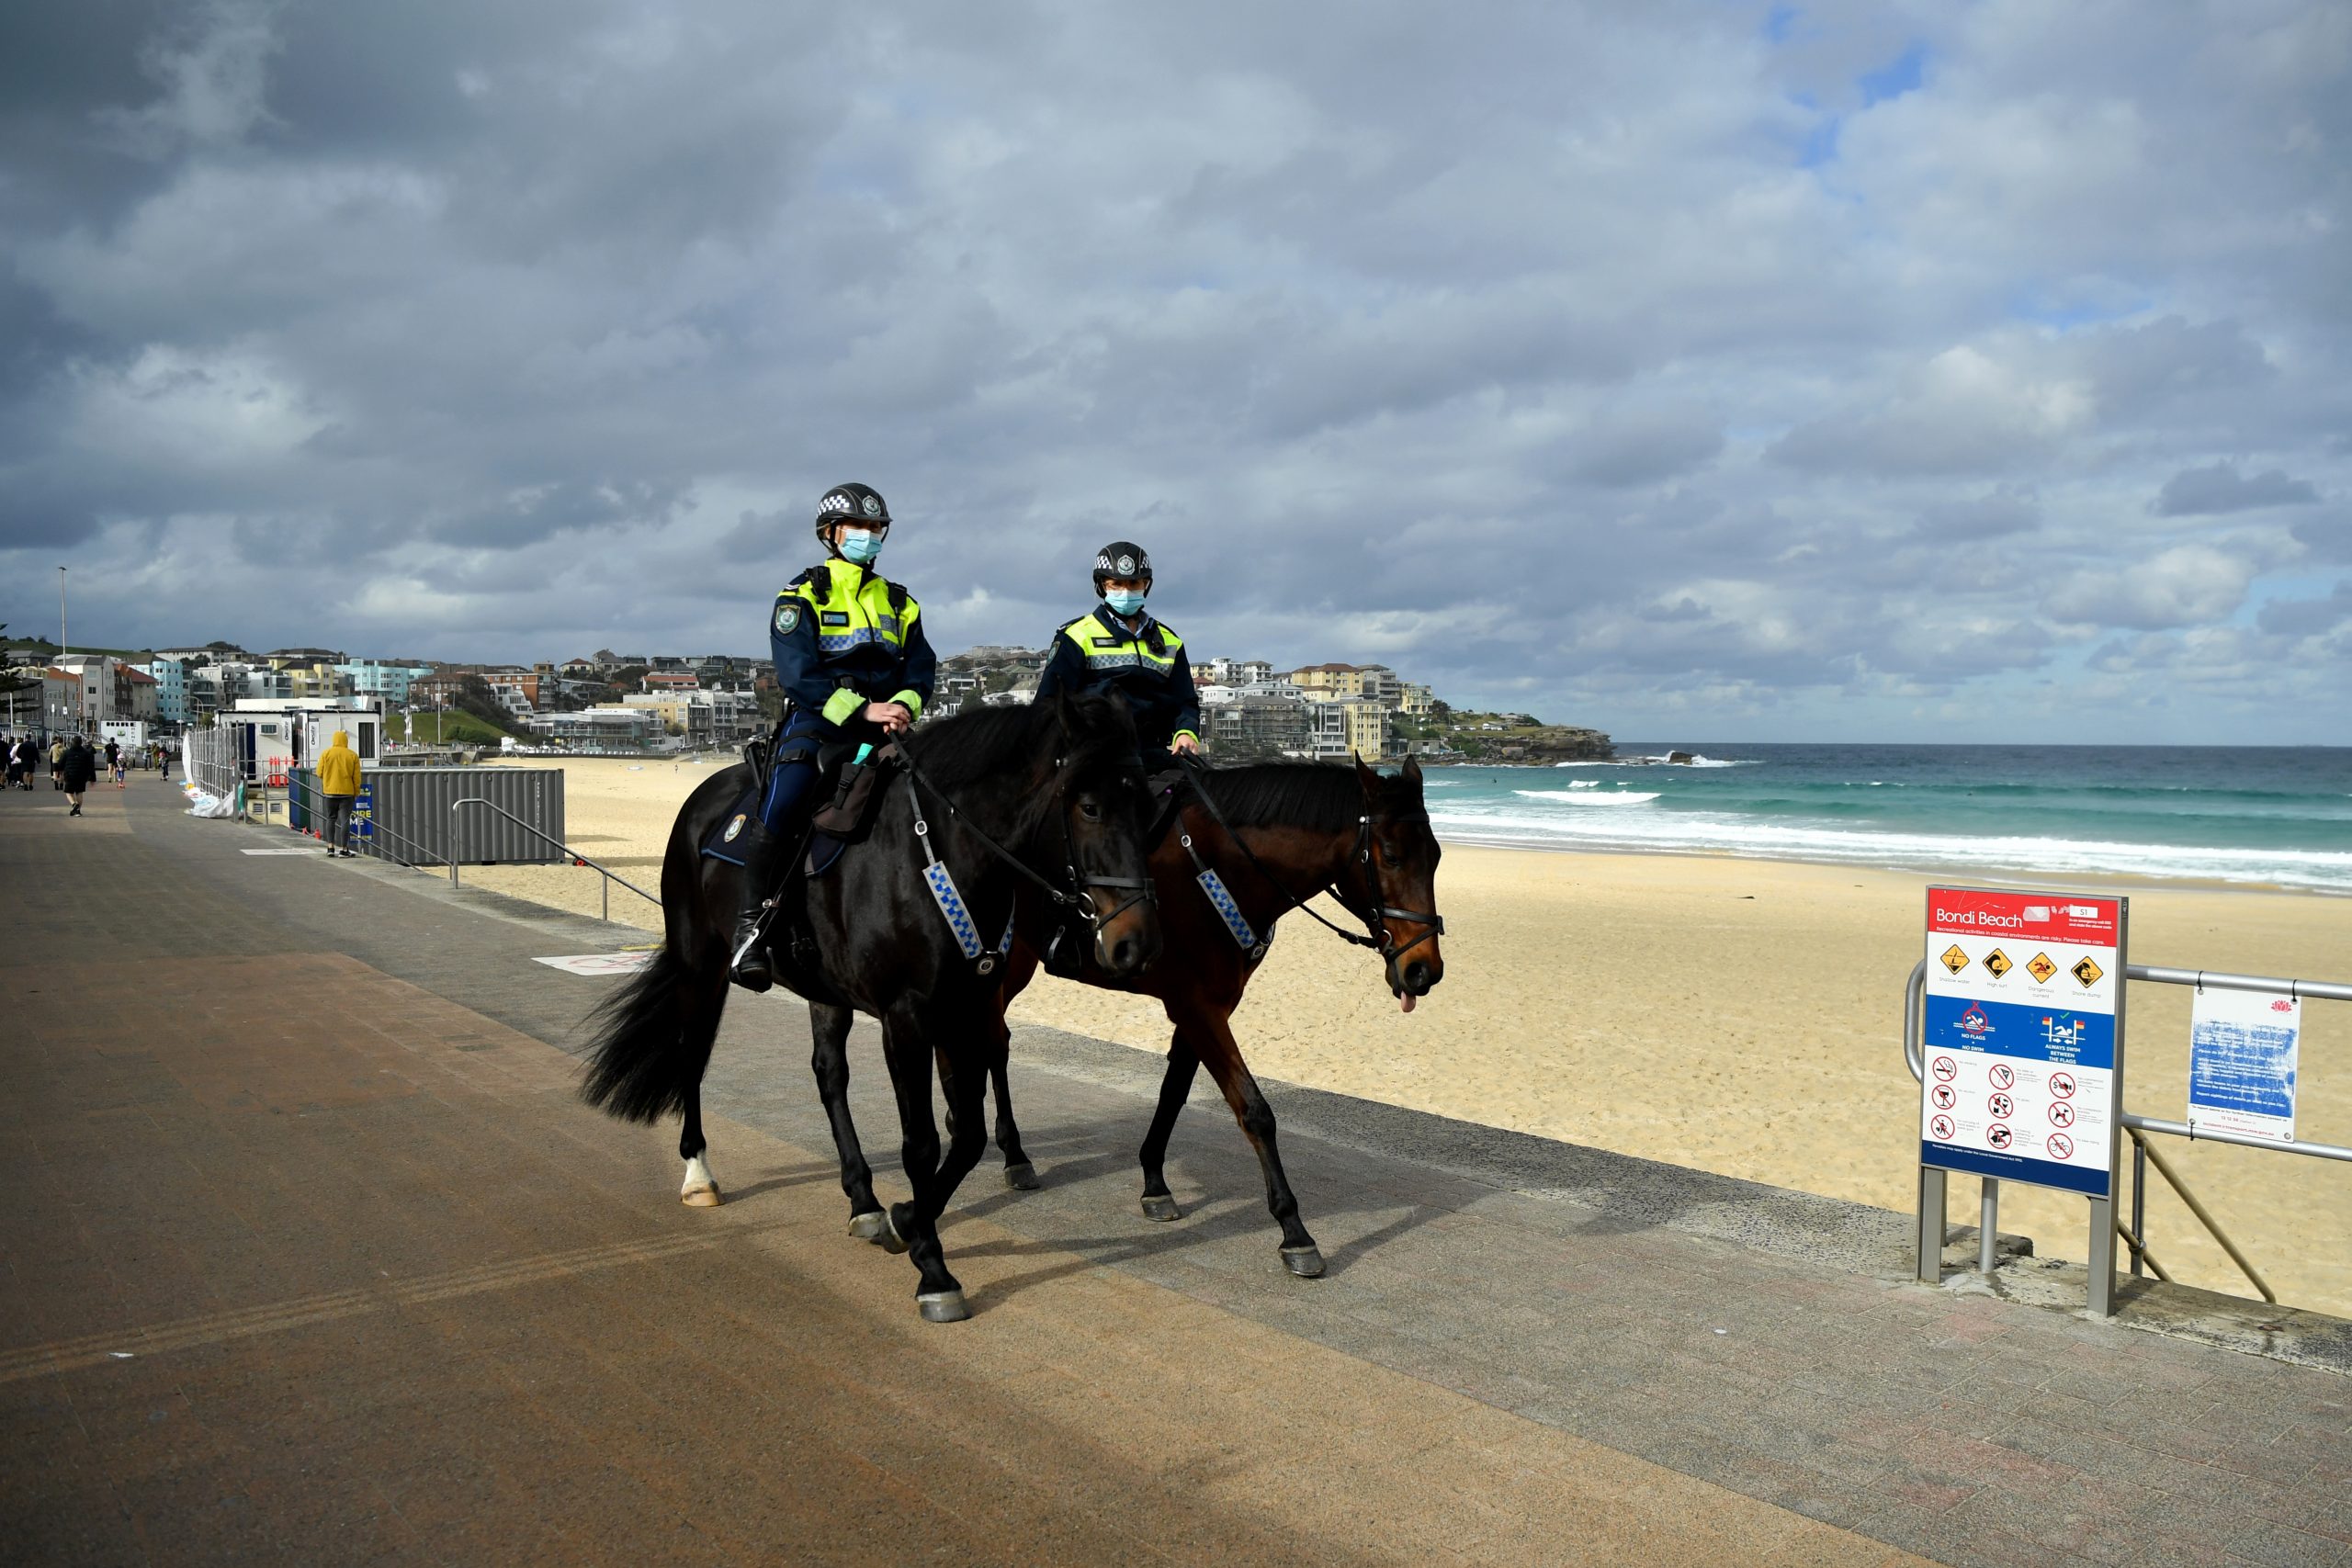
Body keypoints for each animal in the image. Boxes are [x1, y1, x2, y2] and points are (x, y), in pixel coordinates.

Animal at [573, 691, 1152, 1316]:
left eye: (1149, 805)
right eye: (1090, 807)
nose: (1134, 943)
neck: (934, 854)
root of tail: (705, 796)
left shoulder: (967, 1010)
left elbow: (968, 1136)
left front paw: (905, 1220)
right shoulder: (907, 1019)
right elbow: (921, 1143)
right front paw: (933, 1269)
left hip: (825, 993)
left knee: (830, 1075)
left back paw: (864, 1200)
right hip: (699, 964)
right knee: (692, 1054)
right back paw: (698, 1172)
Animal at [799, 751, 1439, 1279]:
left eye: (1434, 858)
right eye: (1389, 855)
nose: (1423, 971)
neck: (1215, 867)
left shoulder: (1204, 1006)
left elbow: (1174, 1091)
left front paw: (1154, 1179)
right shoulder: (1199, 1006)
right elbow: (1254, 1111)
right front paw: (1293, 1229)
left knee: (991, 1042)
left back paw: (999, 1144)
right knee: (983, 1043)